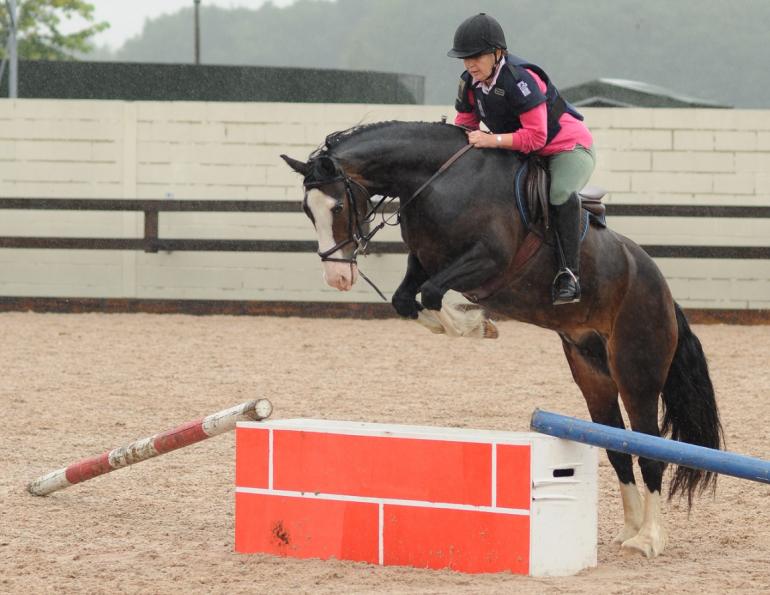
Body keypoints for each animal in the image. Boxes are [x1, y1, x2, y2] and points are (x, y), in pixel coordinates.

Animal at [280, 120, 723, 558]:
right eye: (306, 210)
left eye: (337, 207)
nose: (337, 277)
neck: (437, 178)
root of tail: (662, 289)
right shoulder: (426, 261)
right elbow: (407, 300)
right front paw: (470, 324)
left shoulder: (486, 259)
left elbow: (432, 294)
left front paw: (476, 325)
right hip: (592, 370)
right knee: (617, 445)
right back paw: (629, 530)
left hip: (636, 370)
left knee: (650, 448)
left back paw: (649, 538)